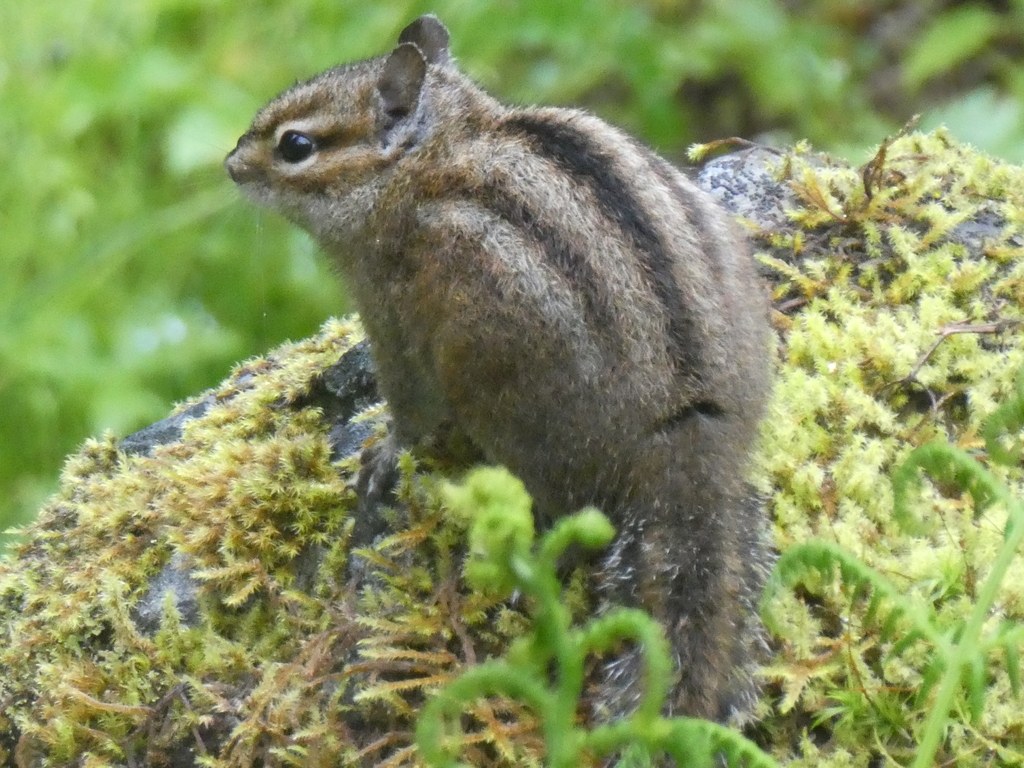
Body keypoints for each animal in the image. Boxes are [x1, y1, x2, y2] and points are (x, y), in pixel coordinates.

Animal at [226, 15, 772, 724]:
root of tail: (689, 435)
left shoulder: (391, 312)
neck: (433, 154)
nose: (230, 164)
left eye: (295, 145)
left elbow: (408, 406)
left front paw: (383, 454)